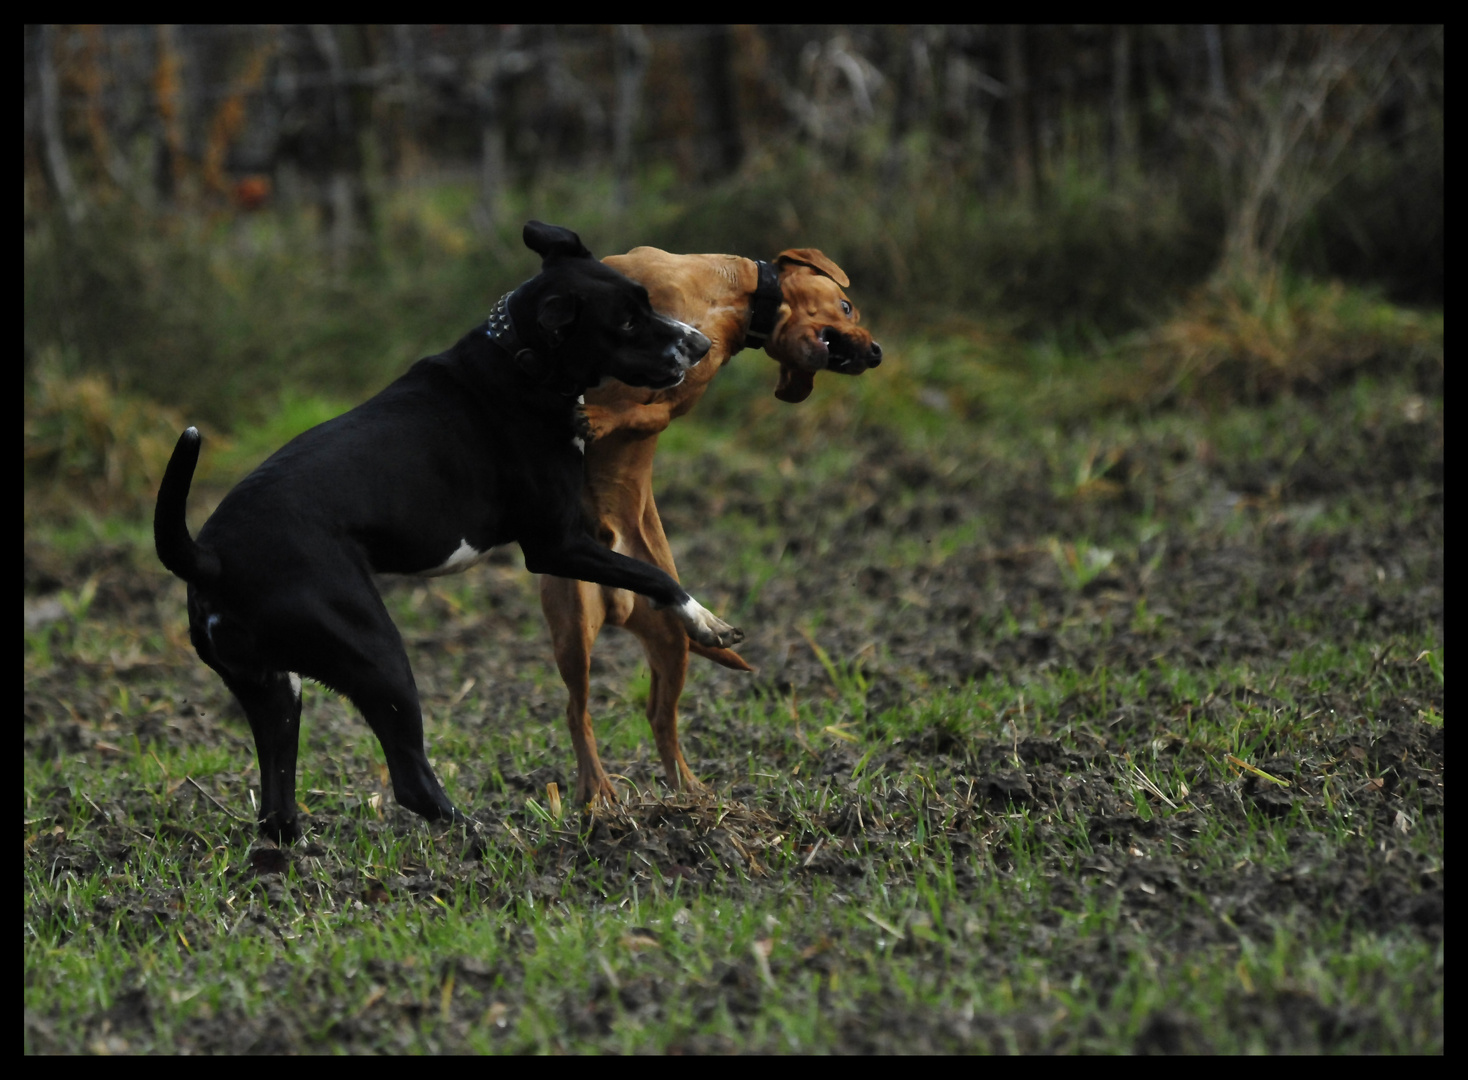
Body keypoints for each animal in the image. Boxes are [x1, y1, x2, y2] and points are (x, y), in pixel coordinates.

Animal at [154, 221, 739, 845]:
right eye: (625, 322)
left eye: (646, 300)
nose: (700, 346)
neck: (521, 361)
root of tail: (211, 557)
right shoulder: (556, 546)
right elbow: (652, 574)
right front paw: (705, 622)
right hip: (378, 654)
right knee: (410, 779)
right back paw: (485, 835)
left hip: (274, 689)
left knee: (277, 803)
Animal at [543, 246, 874, 804]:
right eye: (847, 306)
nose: (876, 353)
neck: (733, 303)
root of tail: (618, 602)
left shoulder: (670, 404)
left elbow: (636, 412)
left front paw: (599, 418)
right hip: (574, 631)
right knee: (577, 710)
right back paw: (605, 792)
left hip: (669, 643)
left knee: (654, 716)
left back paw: (679, 792)